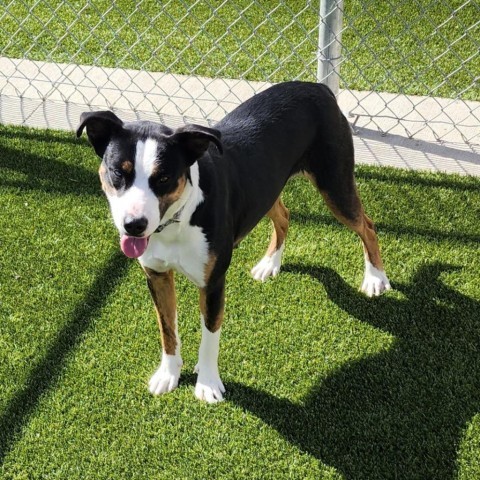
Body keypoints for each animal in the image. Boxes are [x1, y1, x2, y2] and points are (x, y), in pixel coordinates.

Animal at [76, 80, 390, 404]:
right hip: (268, 188)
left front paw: (207, 384)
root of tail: (318, 87)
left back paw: (375, 278)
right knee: (284, 216)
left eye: (163, 178)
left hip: (335, 185)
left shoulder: (213, 283)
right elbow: (167, 329)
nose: (134, 225)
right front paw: (168, 374)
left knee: (367, 226)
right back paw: (269, 264)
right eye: (118, 172)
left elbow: (210, 335)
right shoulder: (157, 276)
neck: (177, 221)